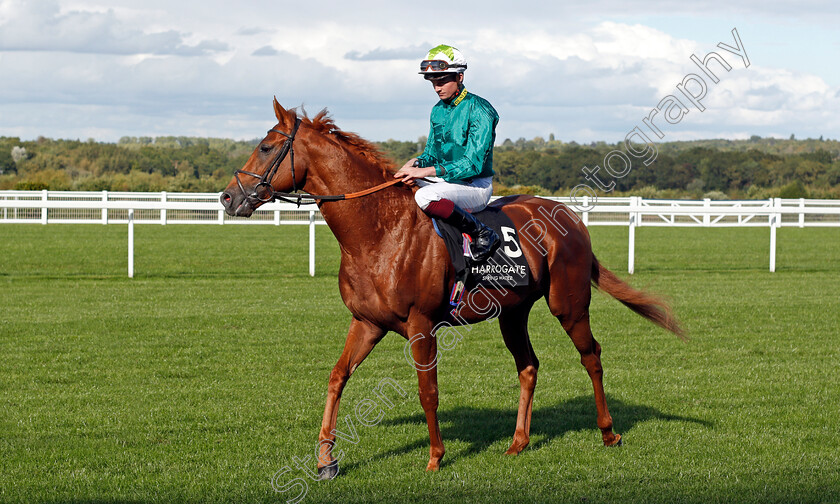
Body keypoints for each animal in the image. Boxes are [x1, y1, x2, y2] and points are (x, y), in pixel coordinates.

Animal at [223, 98, 684, 476]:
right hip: (512, 312)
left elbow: (428, 392)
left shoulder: (421, 324)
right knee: (528, 366)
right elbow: (337, 378)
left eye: (266, 147)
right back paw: (518, 443)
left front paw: (435, 457)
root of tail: (569, 218)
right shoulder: (366, 322)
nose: (229, 198)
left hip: (568, 304)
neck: (379, 232)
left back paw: (608, 432)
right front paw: (325, 459)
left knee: (591, 356)